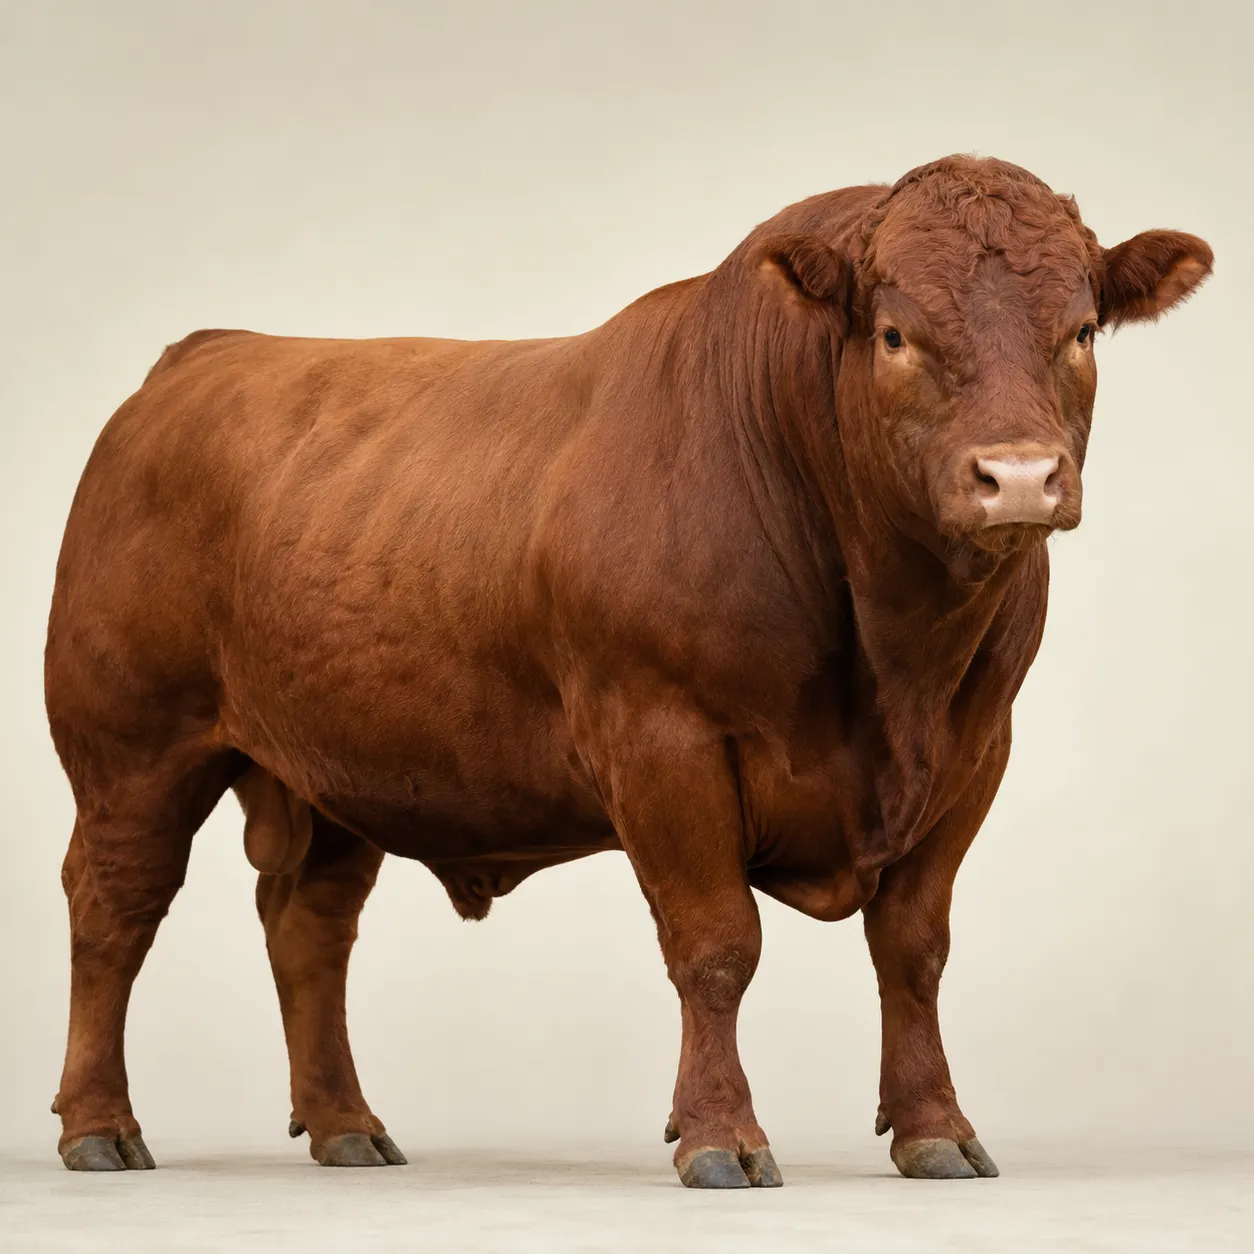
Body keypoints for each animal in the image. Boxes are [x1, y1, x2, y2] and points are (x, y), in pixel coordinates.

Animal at [44, 155, 1212, 1187]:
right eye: (894, 334)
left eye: (1081, 331)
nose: (1017, 476)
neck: (898, 661)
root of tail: (204, 354)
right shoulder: (662, 738)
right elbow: (717, 944)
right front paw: (721, 1138)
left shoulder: (973, 753)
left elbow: (914, 949)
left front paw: (937, 1131)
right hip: (132, 748)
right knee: (114, 908)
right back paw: (100, 1126)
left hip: (339, 768)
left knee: (308, 927)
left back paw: (346, 1127)